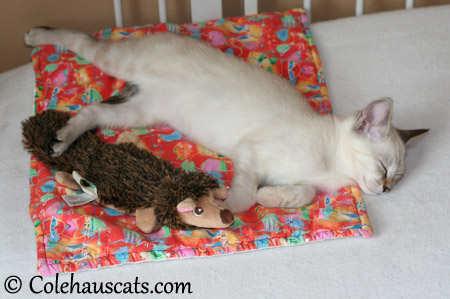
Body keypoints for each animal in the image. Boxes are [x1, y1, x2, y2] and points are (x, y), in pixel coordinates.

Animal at [24, 27, 428, 213]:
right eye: (383, 169)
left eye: (397, 177)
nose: (387, 190)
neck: (332, 169)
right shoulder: (250, 153)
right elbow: (244, 198)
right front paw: (222, 210)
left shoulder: (297, 179)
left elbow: (302, 193)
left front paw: (273, 197)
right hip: (116, 64)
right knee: (80, 41)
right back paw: (36, 36)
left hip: (141, 113)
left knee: (91, 111)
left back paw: (60, 140)